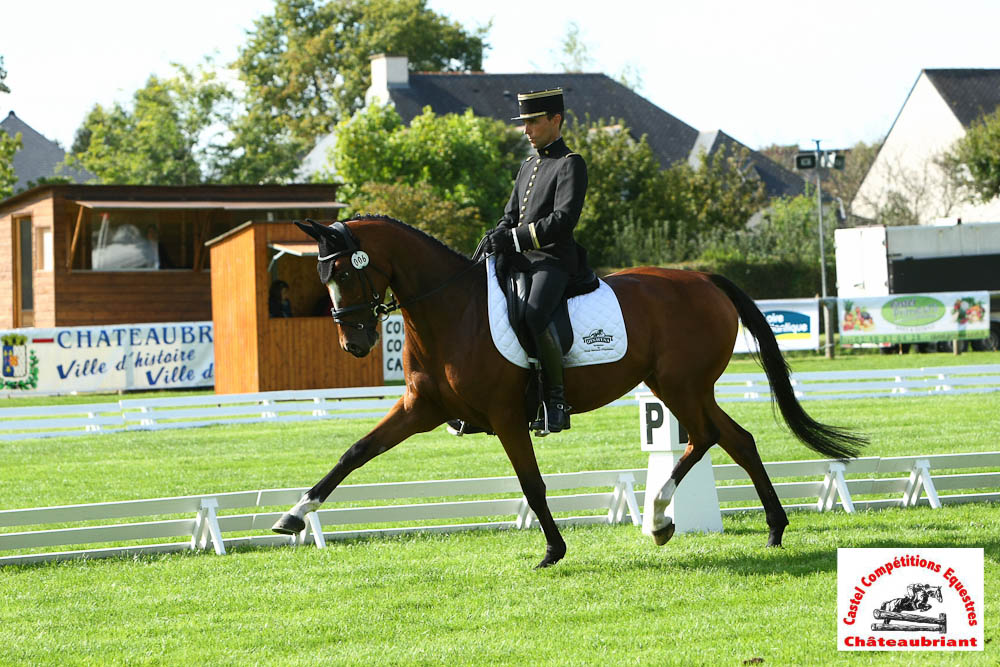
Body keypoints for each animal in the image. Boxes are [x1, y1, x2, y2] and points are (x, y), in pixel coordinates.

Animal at [274, 215, 868, 568]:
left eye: (344, 273)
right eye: (323, 276)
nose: (354, 342)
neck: (451, 311)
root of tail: (703, 278)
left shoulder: (506, 416)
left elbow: (532, 485)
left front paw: (553, 550)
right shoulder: (420, 408)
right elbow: (355, 453)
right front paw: (294, 516)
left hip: (680, 385)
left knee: (705, 437)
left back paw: (661, 516)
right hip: (681, 385)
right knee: (734, 440)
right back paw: (766, 529)